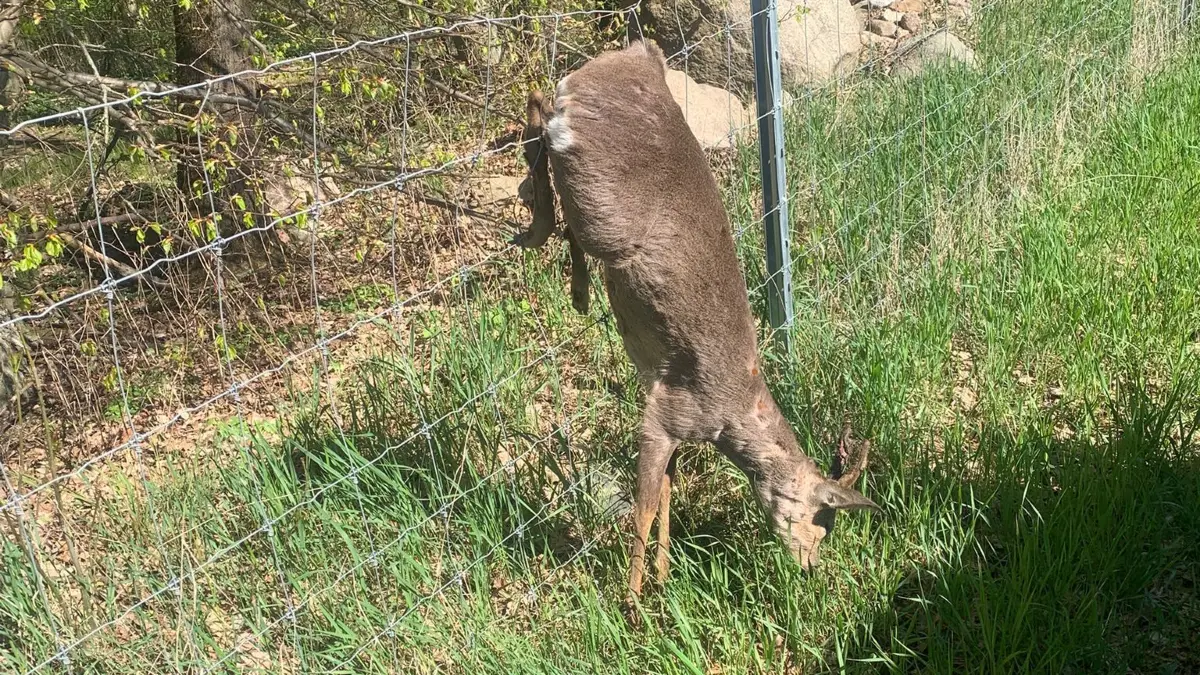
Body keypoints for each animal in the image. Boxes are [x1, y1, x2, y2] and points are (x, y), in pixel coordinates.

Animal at [514, 40, 880, 603]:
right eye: (820, 522)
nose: (811, 566)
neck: (731, 418)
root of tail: (638, 55)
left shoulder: (659, 395)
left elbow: (668, 489)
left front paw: (663, 577)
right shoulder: (668, 414)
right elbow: (644, 506)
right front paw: (633, 603)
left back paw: (574, 287)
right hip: (594, 196)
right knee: (540, 116)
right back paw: (536, 230)